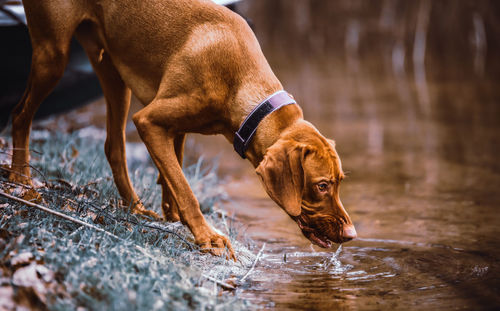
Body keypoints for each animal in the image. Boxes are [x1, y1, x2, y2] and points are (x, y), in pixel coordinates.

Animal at [9, 0, 358, 258]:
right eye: (322, 185)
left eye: (339, 182)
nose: (352, 234)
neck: (242, 86)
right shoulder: (149, 121)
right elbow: (186, 189)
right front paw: (206, 236)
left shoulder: (174, 128)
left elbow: (171, 174)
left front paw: (171, 215)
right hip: (53, 55)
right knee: (19, 114)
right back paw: (20, 179)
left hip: (113, 75)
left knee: (113, 146)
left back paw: (135, 208)